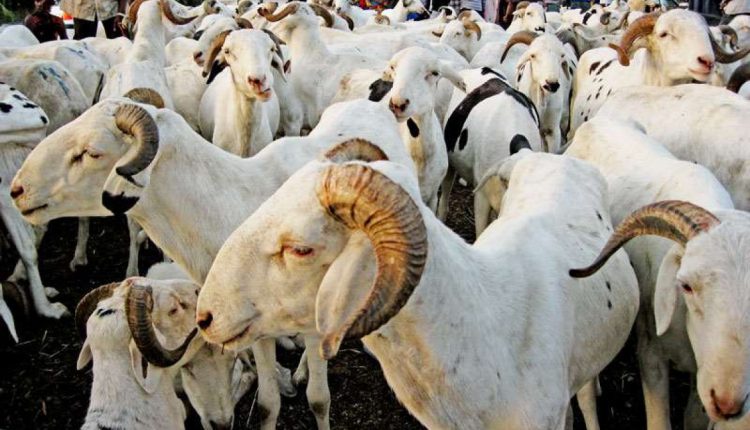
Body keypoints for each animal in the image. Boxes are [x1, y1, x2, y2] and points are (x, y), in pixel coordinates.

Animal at [12, 98, 416, 429]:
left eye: (91, 152)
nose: (17, 190)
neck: (228, 206)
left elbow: (318, 400)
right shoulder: (250, 329)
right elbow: (267, 404)